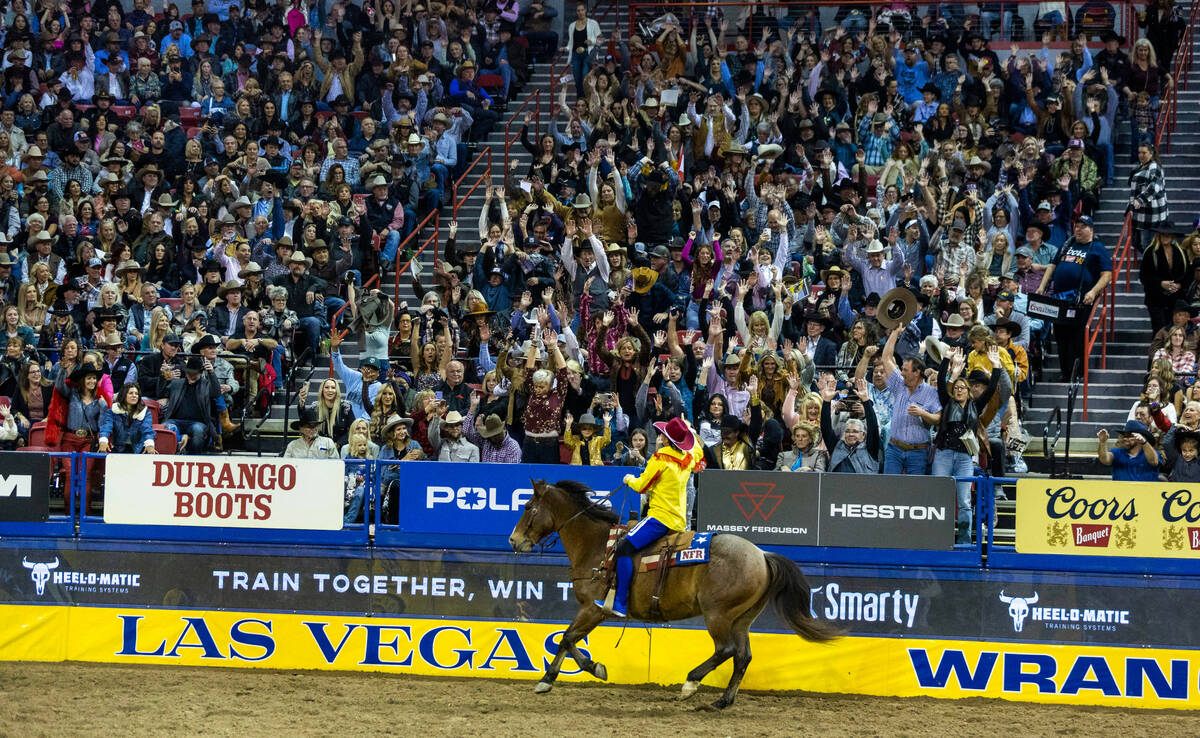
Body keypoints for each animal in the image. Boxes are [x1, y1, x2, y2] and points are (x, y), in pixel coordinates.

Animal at [504, 480, 835, 710]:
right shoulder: (592, 611)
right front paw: (590, 669)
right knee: (742, 656)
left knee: (725, 650)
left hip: (718, 615)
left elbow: (567, 638)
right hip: (742, 619)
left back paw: (690, 683)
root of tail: (762, 555)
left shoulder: (594, 609)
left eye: (528, 506)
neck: (598, 546)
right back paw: (722, 701)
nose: (514, 540)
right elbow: (570, 639)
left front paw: (549, 680)